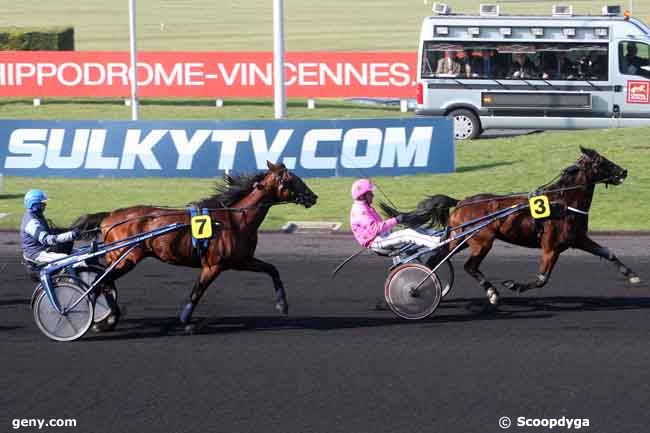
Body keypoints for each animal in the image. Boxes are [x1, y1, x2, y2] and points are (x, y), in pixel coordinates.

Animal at [73, 161, 316, 328]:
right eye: (291, 180)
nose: (313, 197)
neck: (235, 219)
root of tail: (109, 216)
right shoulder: (213, 265)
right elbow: (197, 292)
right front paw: (186, 320)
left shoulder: (241, 260)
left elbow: (272, 269)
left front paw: (283, 304)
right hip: (126, 259)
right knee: (102, 282)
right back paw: (106, 316)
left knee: (101, 281)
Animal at [380, 145, 636, 304]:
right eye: (601, 161)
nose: (623, 171)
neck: (563, 202)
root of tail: (461, 201)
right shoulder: (551, 247)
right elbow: (542, 279)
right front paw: (514, 285)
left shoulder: (578, 239)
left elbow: (608, 252)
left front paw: (631, 275)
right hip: (482, 241)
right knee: (470, 266)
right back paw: (489, 292)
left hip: (461, 239)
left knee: (436, 260)